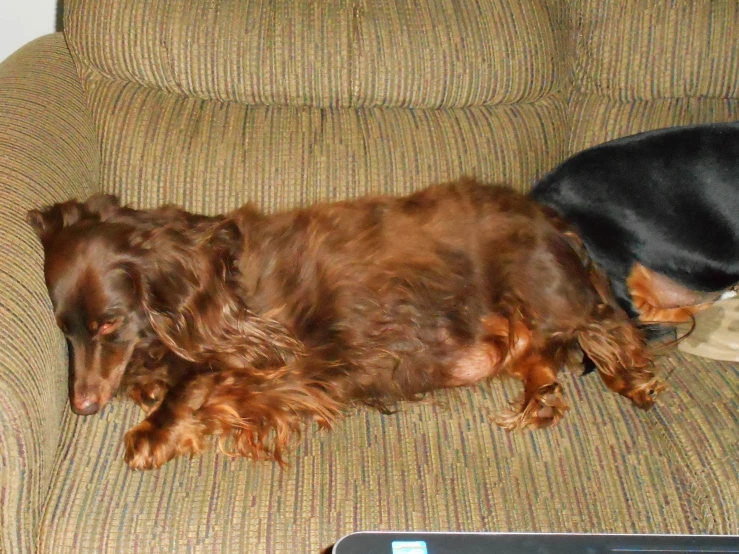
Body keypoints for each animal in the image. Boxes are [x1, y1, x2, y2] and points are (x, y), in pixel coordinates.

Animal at [27, 179, 664, 468]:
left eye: (108, 324)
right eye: (66, 330)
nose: (82, 406)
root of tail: (552, 217)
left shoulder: (265, 351)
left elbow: (193, 382)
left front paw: (152, 432)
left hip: (542, 291)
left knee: (607, 325)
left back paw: (633, 380)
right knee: (543, 357)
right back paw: (540, 400)